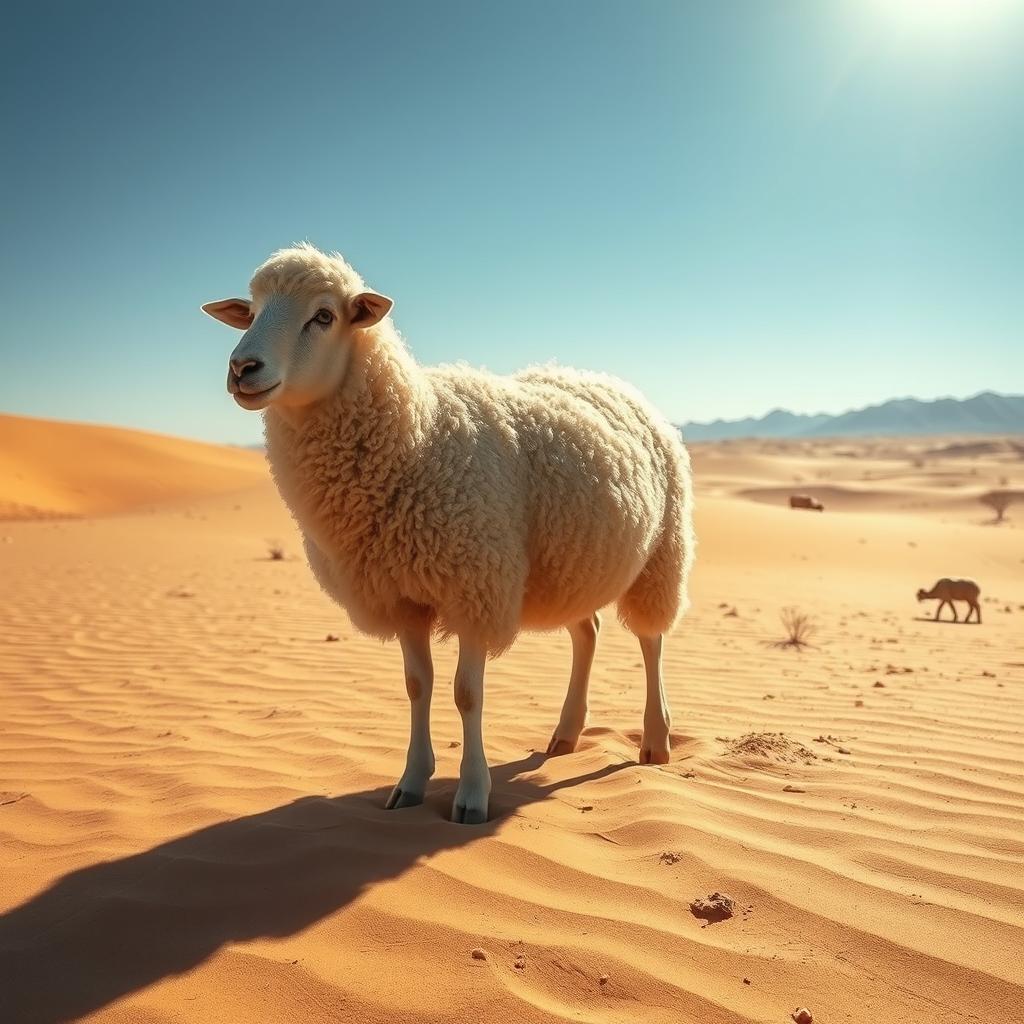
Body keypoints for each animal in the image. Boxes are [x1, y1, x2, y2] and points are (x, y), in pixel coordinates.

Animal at [202, 244, 695, 824]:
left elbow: (466, 695)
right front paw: (411, 782)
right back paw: (567, 734)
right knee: (588, 632)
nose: (242, 368)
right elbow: (418, 687)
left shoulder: (475, 587)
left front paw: (472, 793)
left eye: (323, 316)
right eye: (252, 312)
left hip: (661, 553)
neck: (418, 433)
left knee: (651, 641)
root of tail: (605, 378)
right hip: (573, 564)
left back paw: (656, 740)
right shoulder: (402, 597)